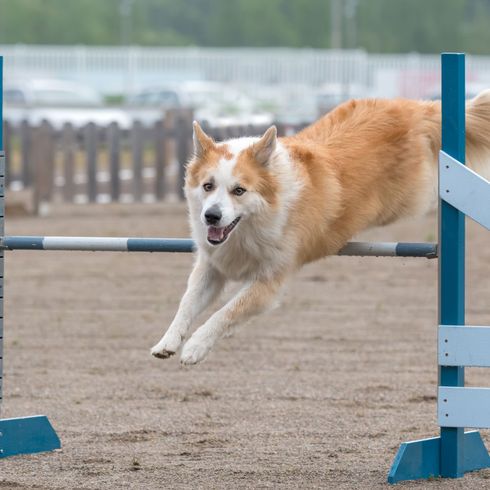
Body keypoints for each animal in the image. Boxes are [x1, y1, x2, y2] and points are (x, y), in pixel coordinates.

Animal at [151, 92, 490, 364]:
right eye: (208, 186)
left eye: (239, 191)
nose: (211, 216)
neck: (249, 228)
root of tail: (414, 108)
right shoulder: (212, 265)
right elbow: (187, 302)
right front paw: (167, 341)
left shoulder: (270, 281)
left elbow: (227, 312)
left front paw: (195, 347)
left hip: (411, 198)